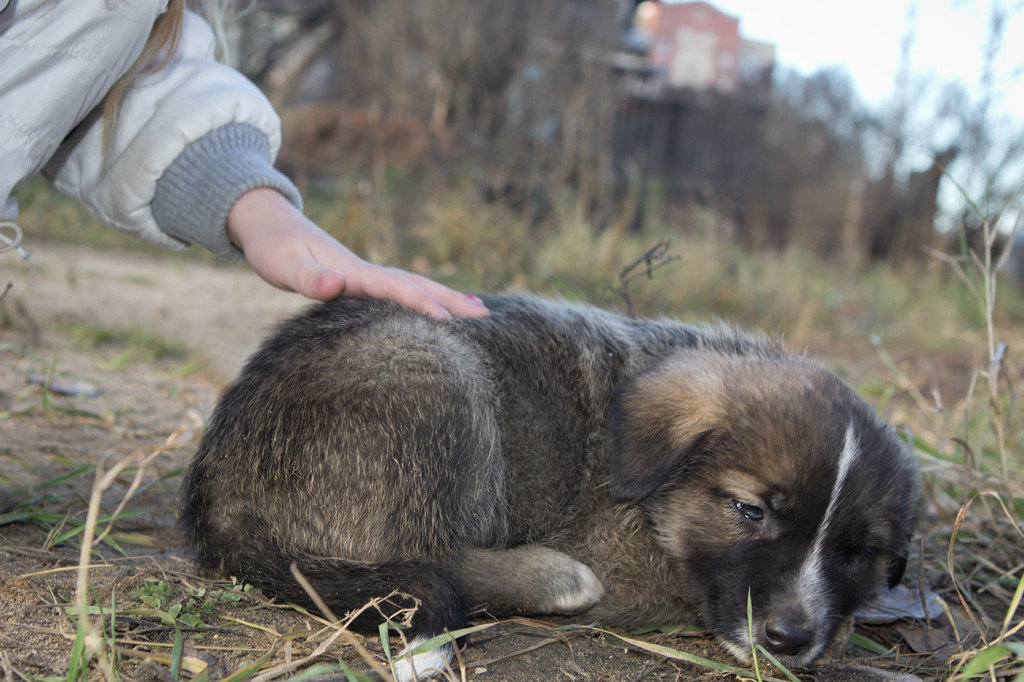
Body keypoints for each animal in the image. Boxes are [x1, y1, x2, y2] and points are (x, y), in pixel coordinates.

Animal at [178, 294, 921, 675]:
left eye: (857, 553)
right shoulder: (624, 553)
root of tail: (221, 489)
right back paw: (550, 578)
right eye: (749, 511)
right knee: (428, 560)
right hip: (432, 368)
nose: (791, 638)